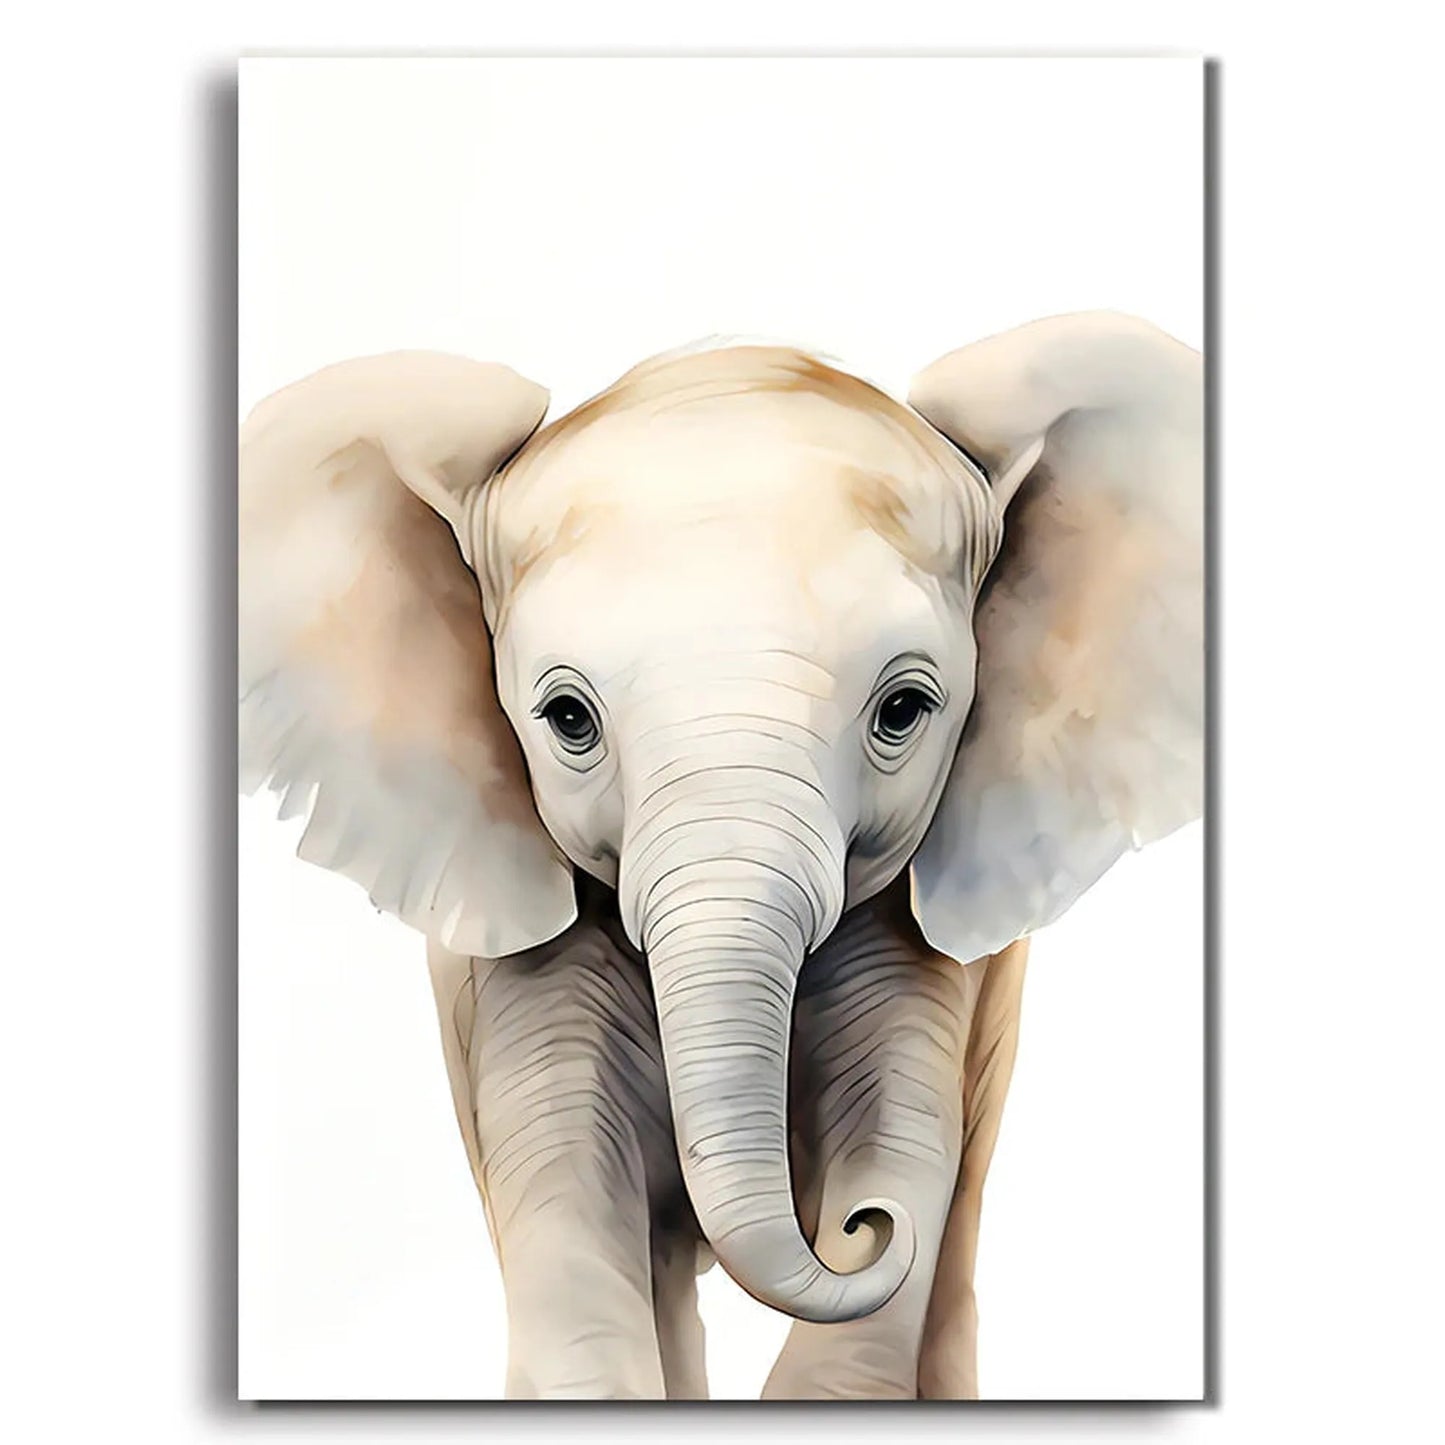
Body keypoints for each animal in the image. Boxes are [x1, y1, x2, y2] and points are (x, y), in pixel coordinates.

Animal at [238, 311, 1203, 1398]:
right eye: (565, 718)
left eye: (903, 708)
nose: (861, 1231)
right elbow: (572, 1194)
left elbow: (900, 1136)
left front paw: (881, 1206)